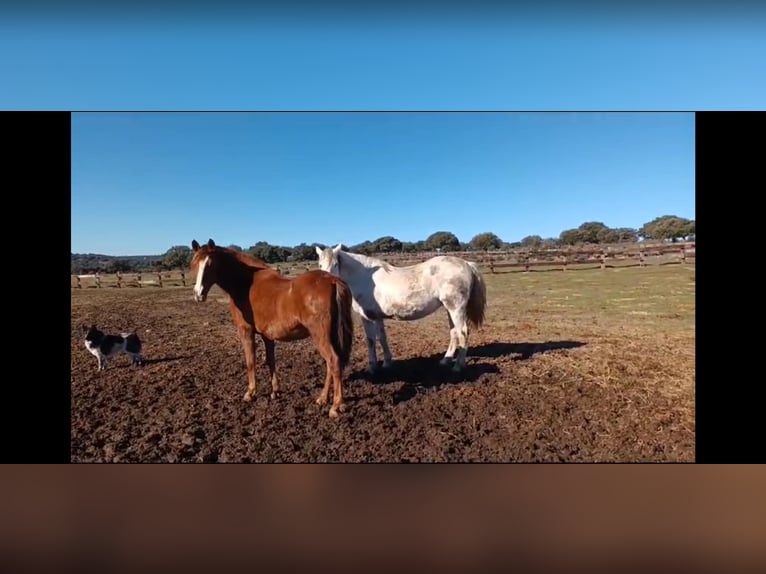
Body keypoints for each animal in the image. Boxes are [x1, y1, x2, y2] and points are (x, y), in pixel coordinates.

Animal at [195, 238, 356, 418]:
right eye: (194, 264)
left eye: (210, 264)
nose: (198, 294)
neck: (246, 283)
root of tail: (332, 280)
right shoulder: (267, 335)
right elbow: (270, 360)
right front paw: (275, 391)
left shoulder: (246, 331)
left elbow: (251, 361)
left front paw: (251, 393)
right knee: (330, 364)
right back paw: (322, 399)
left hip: (320, 335)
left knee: (333, 361)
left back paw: (335, 406)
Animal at [316, 246, 486, 374]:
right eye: (320, 265)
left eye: (335, 264)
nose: (326, 283)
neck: (364, 278)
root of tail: (466, 263)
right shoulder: (378, 317)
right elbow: (382, 338)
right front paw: (387, 363)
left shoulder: (368, 317)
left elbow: (371, 341)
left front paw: (372, 367)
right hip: (449, 309)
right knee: (454, 332)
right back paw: (445, 360)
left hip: (456, 308)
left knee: (463, 332)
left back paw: (458, 366)